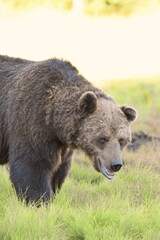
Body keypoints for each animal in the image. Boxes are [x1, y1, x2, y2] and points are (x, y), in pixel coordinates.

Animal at [0, 55, 137, 204]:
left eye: (122, 140)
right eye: (102, 138)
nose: (116, 164)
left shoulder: (61, 146)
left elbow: (59, 170)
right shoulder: (30, 121)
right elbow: (32, 165)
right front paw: (40, 200)